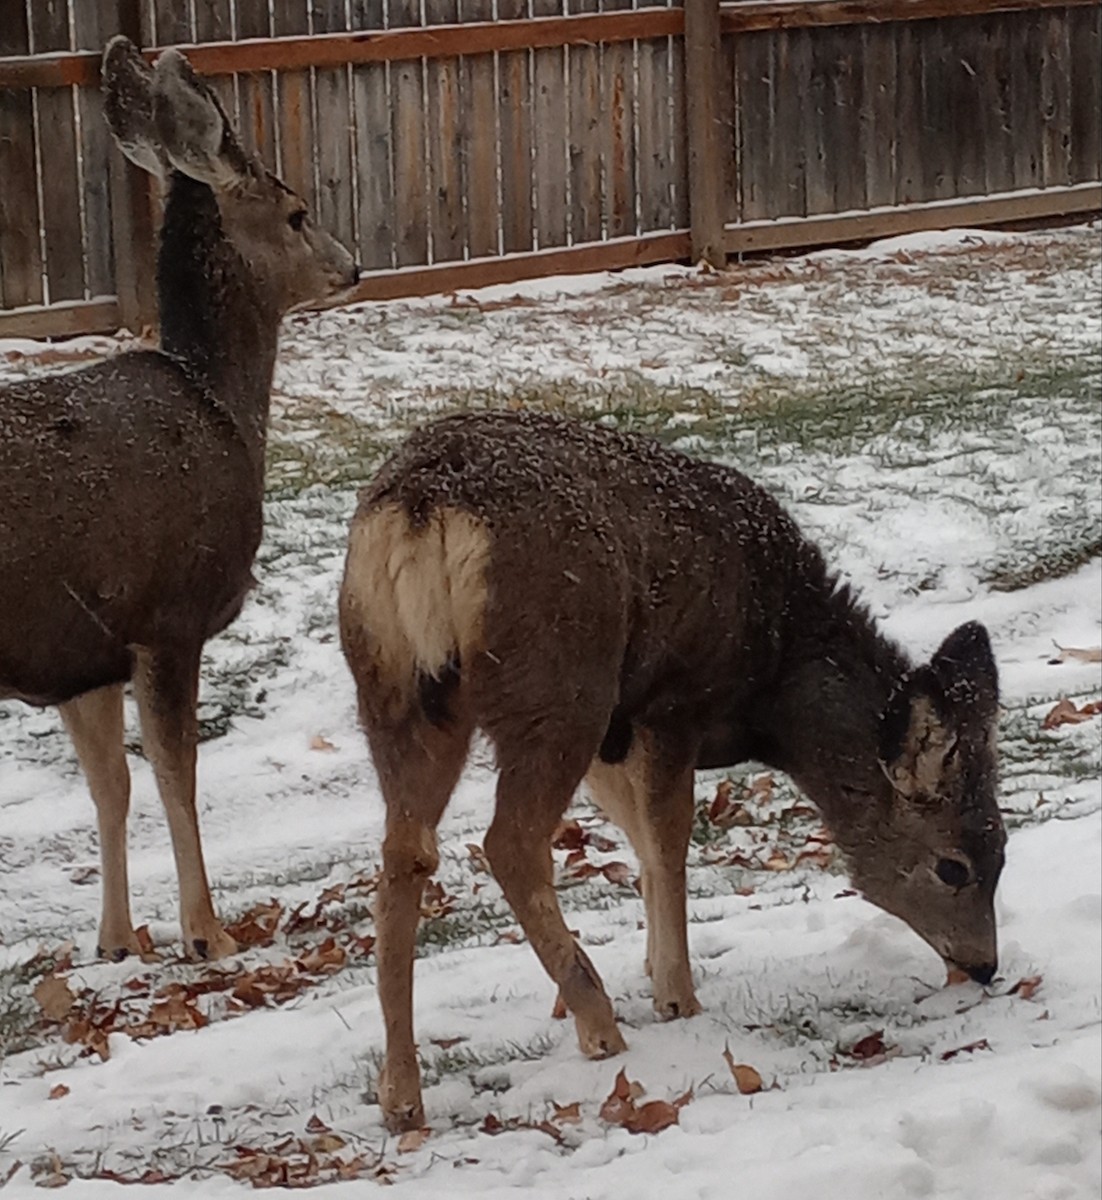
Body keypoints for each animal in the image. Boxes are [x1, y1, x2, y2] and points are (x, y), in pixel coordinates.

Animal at [0, 38, 358, 963]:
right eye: (296, 211)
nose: (351, 264)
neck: (219, 406)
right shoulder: (168, 610)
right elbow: (176, 774)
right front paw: (208, 932)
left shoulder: (82, 650)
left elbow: (111, 786)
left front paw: (116, 940)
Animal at [338, 408, 1006, 1131]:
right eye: (953, 867)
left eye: (1003, 847)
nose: (985, 965)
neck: (774, 673)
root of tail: (422, 509)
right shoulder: (672, 706)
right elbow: (668, 843)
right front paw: (677, 998)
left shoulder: (620, 730)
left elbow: (639, 842)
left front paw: (655, 970)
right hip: (559, 683)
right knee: (509, 842)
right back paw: (598, 1024)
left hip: (396, 691)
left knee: (404, 854)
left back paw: (401, 1094)